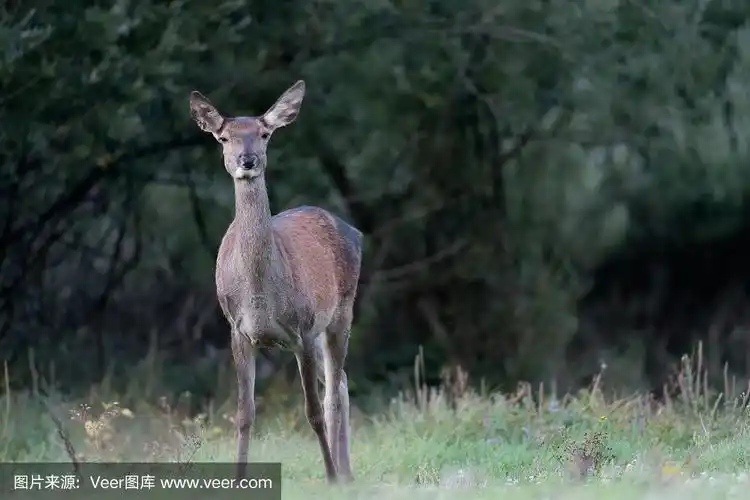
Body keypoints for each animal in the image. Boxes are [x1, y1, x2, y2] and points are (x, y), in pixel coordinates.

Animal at [188, 80, 363, 484]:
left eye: (264, 134)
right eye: (223, 137)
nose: (247, 160)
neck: (260, 296)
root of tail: (355, 231)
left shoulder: (303, 329)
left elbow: (311, 411)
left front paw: (329, 476)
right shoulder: (237, 330)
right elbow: (244, 414)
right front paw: (237, 480)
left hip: (340, 313)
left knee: (334, 391)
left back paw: (341, 473)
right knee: (342, 383)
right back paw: (347, 472)